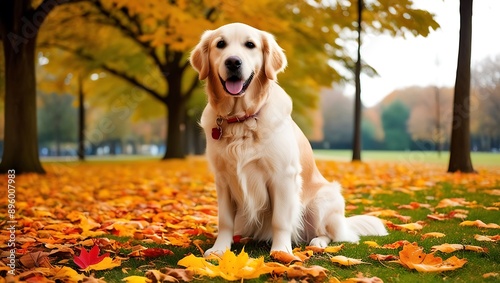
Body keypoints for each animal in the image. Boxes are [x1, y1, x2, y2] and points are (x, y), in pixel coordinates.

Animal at [189, 22, 388, 258]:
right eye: (220, 44)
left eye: (250, 45)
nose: (233, 62)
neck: (242, 120)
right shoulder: (223, 179)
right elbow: (225, 220)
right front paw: (220, 249)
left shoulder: (283, 176)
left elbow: (280, 220)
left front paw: (281, 251)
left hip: (323, 200)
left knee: (329, 234)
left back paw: (317, 242)